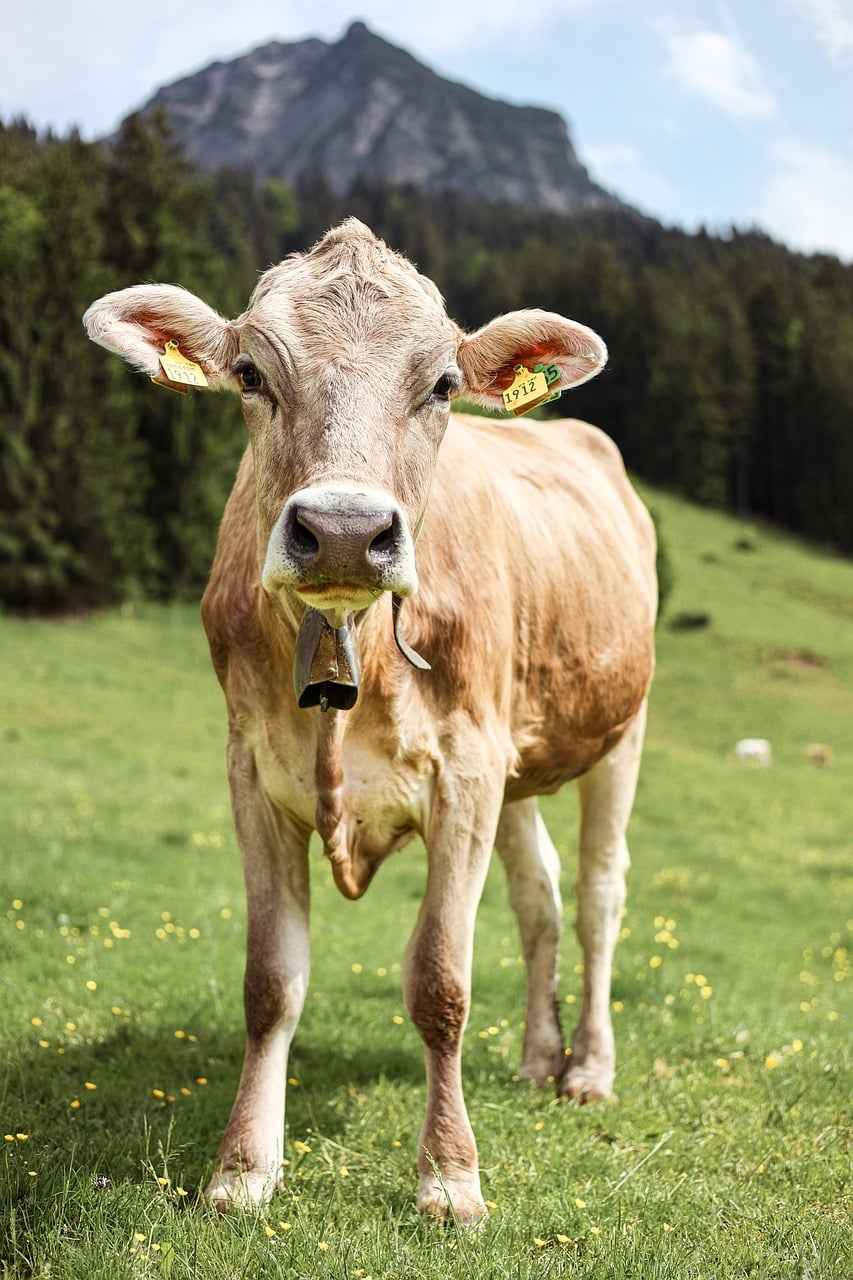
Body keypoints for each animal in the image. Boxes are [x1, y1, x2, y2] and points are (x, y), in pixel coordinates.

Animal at [83, 219, 657, 1225]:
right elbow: (270, 982)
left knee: (597, 894)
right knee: (539, 897)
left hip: (619, 731)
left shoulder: (464, 773)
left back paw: (586, 1068)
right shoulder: (252, 772)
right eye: (250, 374)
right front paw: (243, 1170)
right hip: (519, 764)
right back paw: (537, 1057)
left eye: (443, 386)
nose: (346, 532)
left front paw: (451, 1178)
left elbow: (440, 981)